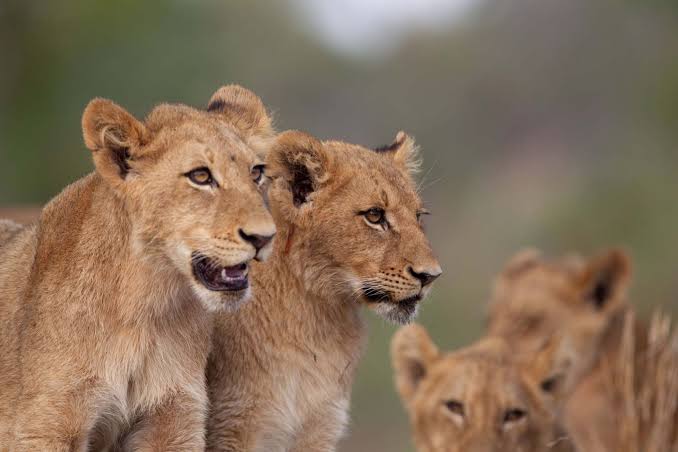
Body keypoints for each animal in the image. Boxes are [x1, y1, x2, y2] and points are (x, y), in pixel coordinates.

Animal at [0, 85, 276, 451]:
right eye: (200, 176)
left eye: (256, 173)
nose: (264, 237)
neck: (145, 310)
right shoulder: (45, 425)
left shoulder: (174, 419)